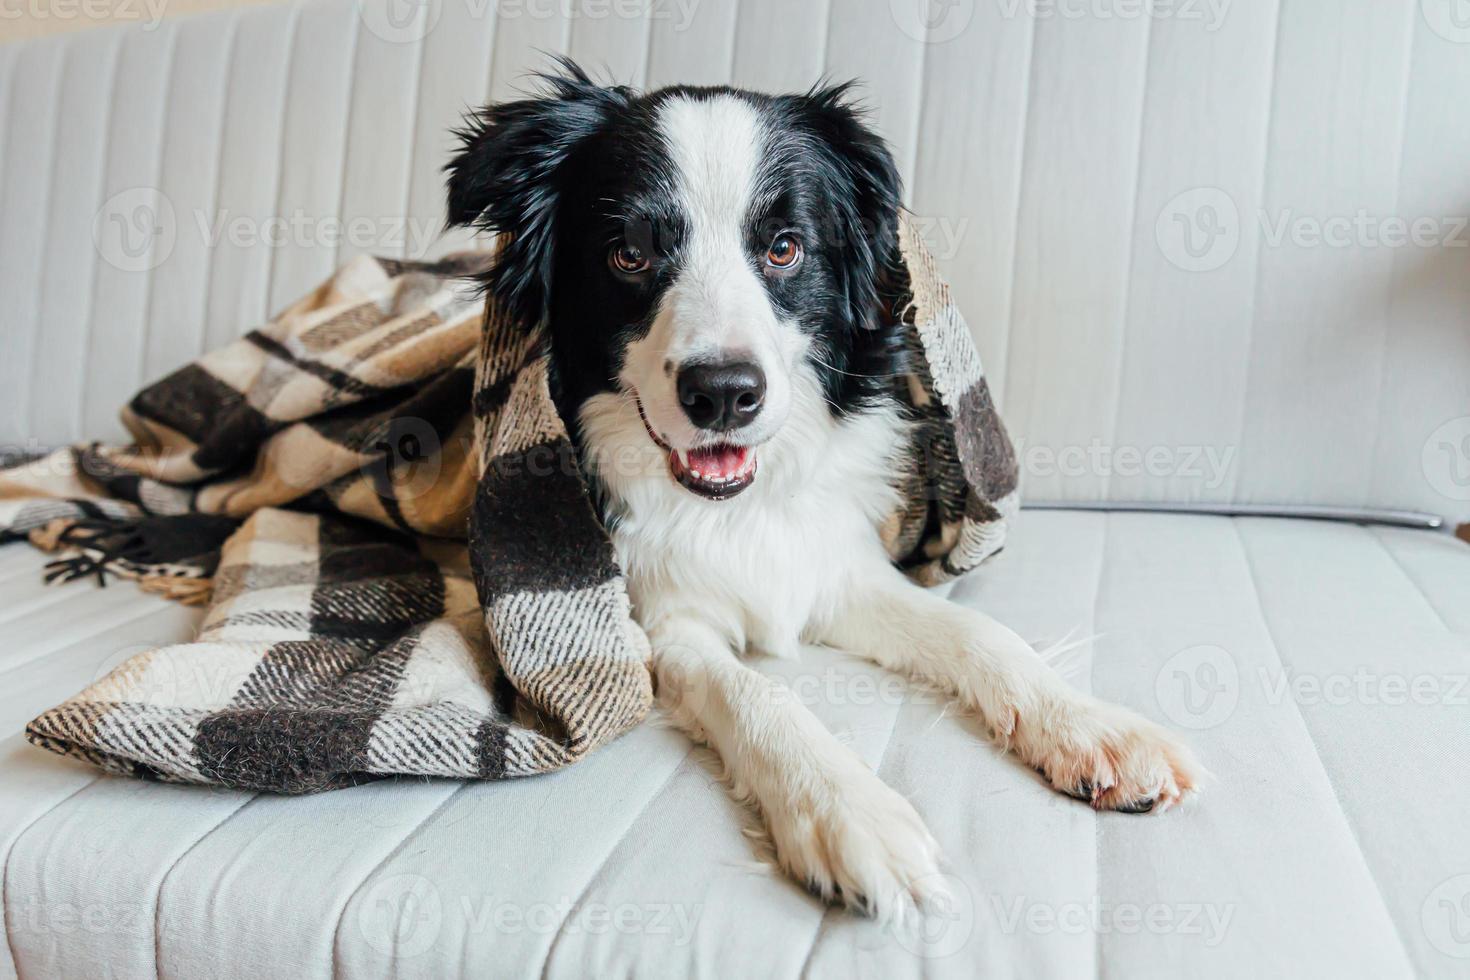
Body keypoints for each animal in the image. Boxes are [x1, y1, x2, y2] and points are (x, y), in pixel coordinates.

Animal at [446, 61, 1205, 922]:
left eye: (784, 248)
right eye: (628, 256)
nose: (723, 393)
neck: (736, 509)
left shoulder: (838, 569)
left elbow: (980, 635)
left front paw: (1094, 728)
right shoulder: (661, 623)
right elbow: (757, 694)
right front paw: (850, 811)